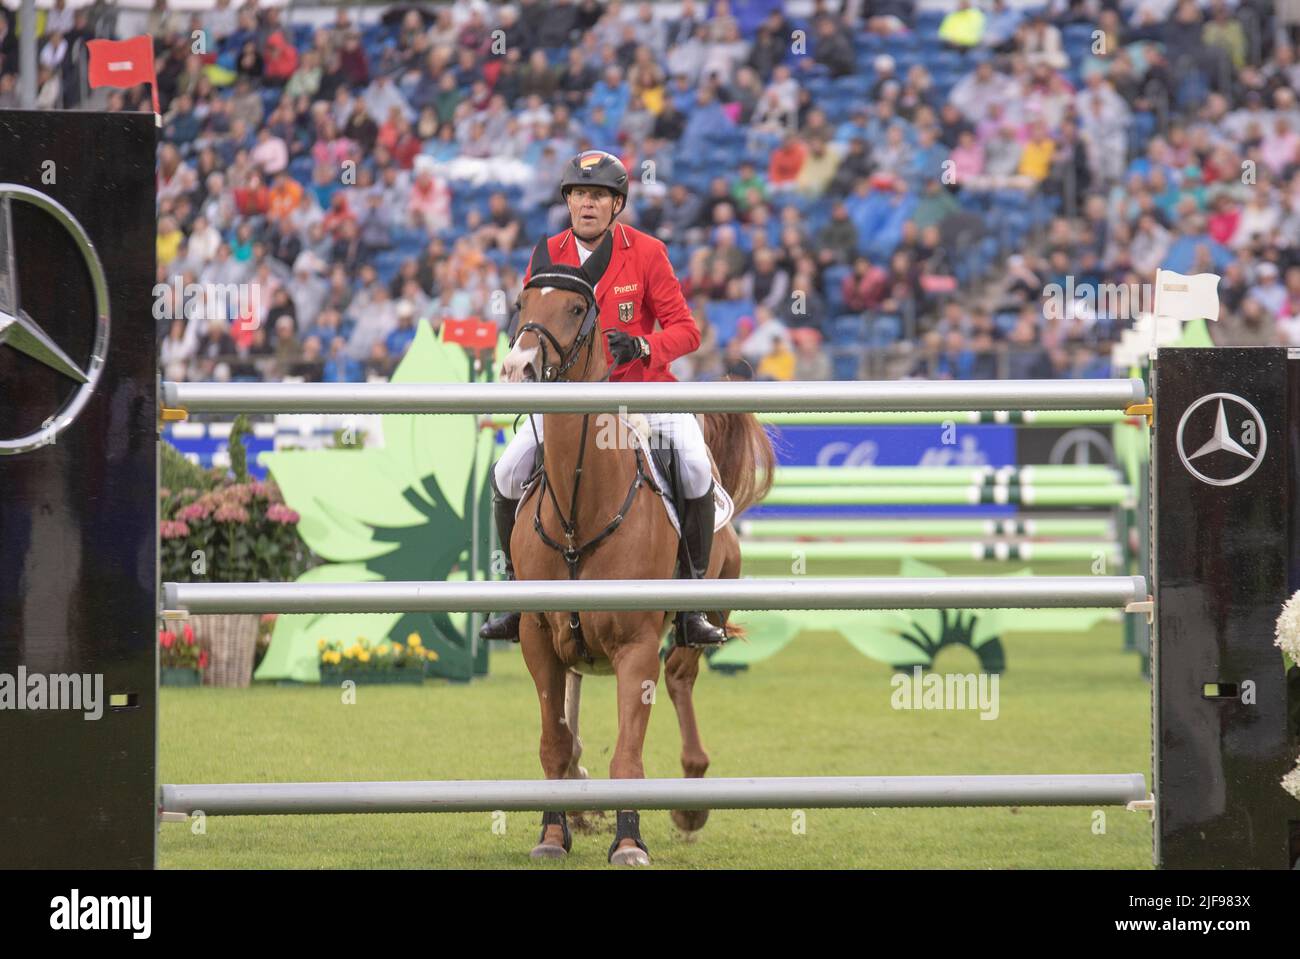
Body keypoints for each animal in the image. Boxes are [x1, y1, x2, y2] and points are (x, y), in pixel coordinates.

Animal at [501, 250, 769, 862]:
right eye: (522, 303)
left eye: (577, 308)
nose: (517, 368)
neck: (580, 508)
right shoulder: (537, 638)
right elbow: (553, 743)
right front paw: (553, 833)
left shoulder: (636, 647)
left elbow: (627, 755)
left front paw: (628, 842)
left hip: (704, 615)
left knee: (681, 674)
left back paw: (691, 799)